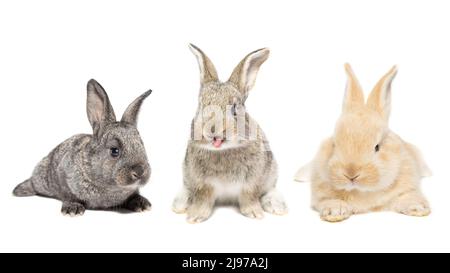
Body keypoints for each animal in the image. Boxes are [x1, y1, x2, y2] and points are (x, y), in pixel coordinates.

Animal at [13, 78, 153, 215]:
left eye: (142, 146)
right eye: (114, 151)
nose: (140, 172)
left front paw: (142, 204)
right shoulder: (63, 176)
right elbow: (68, 195)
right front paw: (72, 209)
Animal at [172, 44, 288, 223]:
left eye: (234, 109)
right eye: (200, 106)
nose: (213, 131)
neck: (223, 151)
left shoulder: (251, 182)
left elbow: (249, 196)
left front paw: (254, 213)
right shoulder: (202, 184)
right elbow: (203, 198)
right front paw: (195, 216)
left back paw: (276, 206)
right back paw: (180, 204)